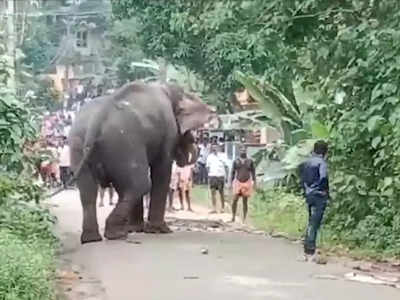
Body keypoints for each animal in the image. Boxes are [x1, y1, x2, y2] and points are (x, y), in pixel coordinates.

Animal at [69, 82, 219, 244]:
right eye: (190, 135)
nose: (195, 145)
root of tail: (97, 122)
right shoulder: (168, 130)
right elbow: (162, 169)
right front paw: (160, 230)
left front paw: (135, 228)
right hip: (123, 142)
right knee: (140, 185)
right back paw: (116, 235)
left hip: (80, 144)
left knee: (88, 191)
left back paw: (92, 239)